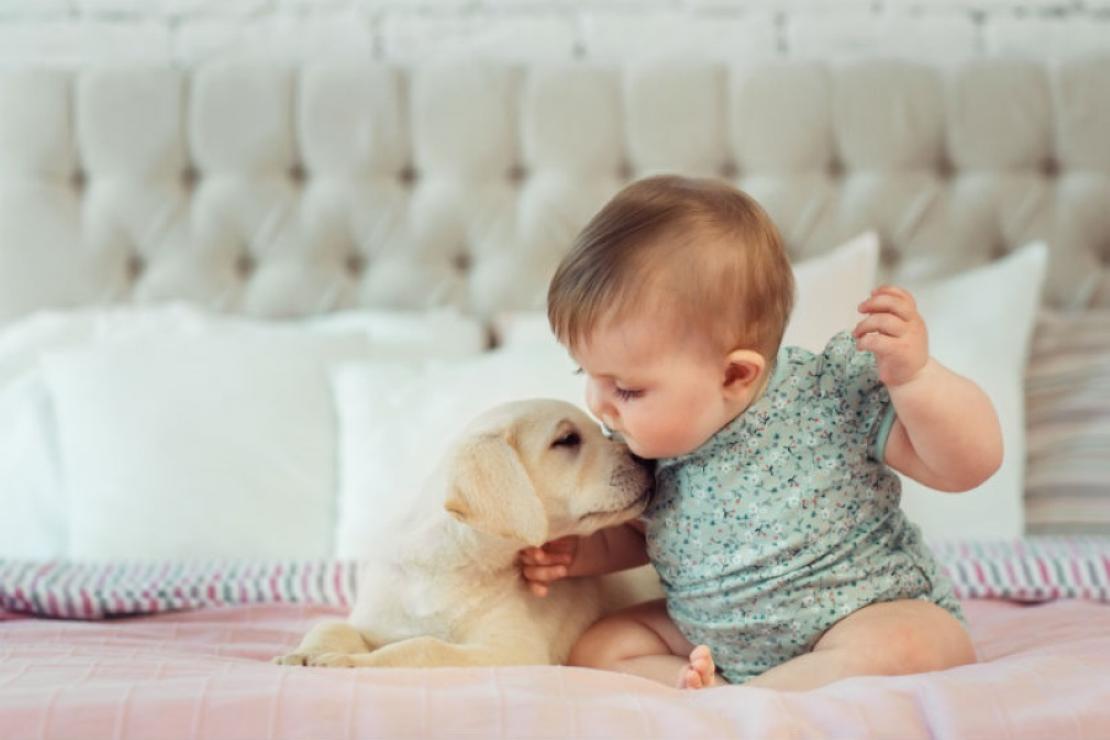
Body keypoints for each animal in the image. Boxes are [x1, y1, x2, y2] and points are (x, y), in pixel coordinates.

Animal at [274, 401, 652, 670]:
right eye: (567, 440)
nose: (648, 459)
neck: (447, 568)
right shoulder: (377, 620)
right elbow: (333, 626)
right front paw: (304, 654)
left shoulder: (512, 651)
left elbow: (422, 647)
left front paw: (350, 661)